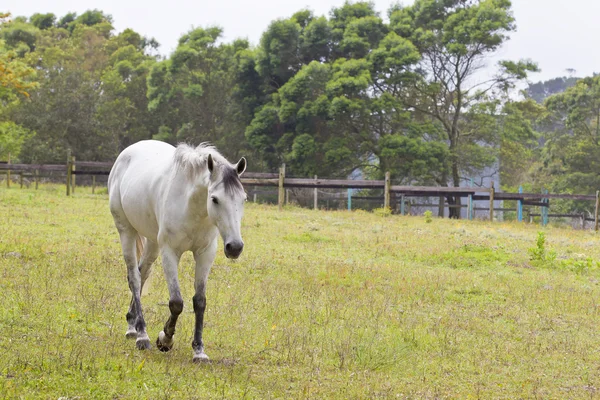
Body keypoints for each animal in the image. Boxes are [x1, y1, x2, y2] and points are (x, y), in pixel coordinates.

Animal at [108, 141, 246, 362]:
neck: (192, 207)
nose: (235, 247)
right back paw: (142, 335)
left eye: (243, 199)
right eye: (215, 199)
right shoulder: (170, 252)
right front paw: (165, 340)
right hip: (126, 231)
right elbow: (176, 302)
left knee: (142, 273)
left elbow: (199, 301)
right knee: (134, 278)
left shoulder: (205, 254)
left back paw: (132, 326)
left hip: (152, 242)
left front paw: (199, 350)